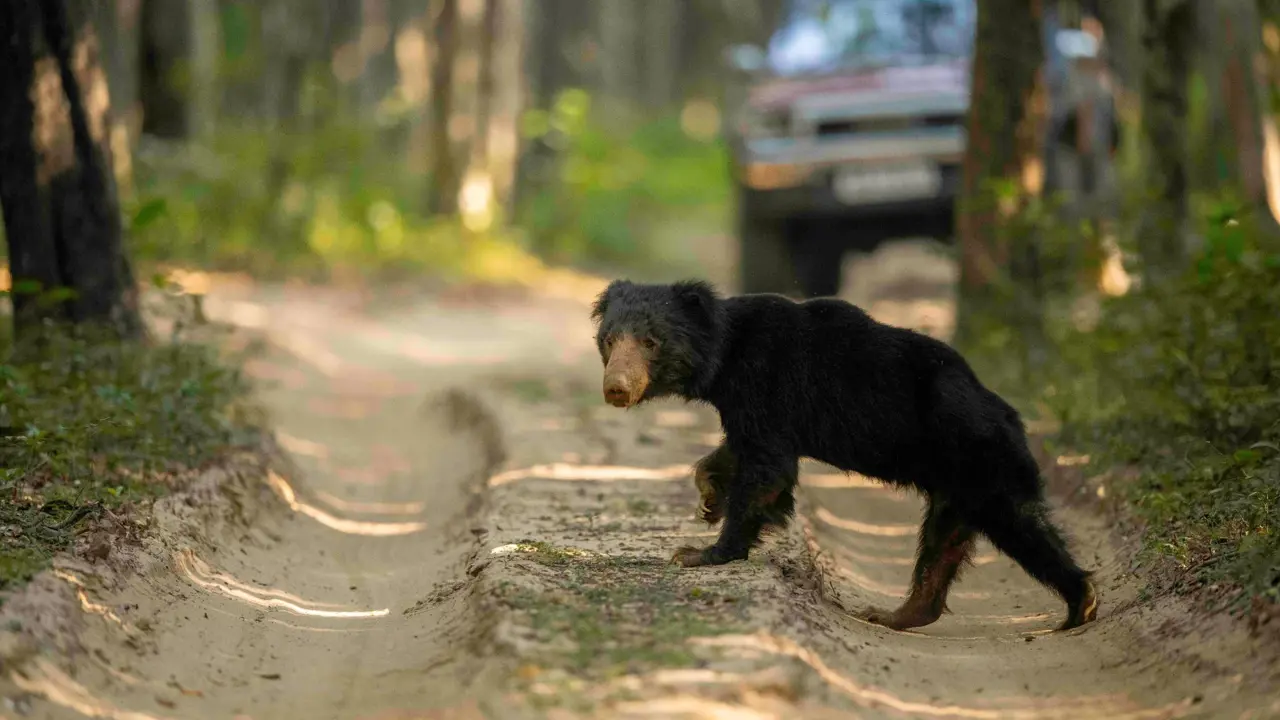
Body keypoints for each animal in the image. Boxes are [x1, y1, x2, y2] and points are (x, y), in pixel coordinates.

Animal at [591, 278, 1098, 632]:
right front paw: (710, 498)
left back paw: (1081, 603)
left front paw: (701, 552)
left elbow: (767, 470)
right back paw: (896, 614)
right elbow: (740, 451)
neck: (725, 357)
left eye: (650, 342)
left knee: (1020, 524)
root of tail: (1012, 416)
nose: (615, 388)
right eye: (610, 341)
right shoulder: (747, 402)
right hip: (956, 485)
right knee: (942, 544)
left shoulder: (768, 381)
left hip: (982, 457)